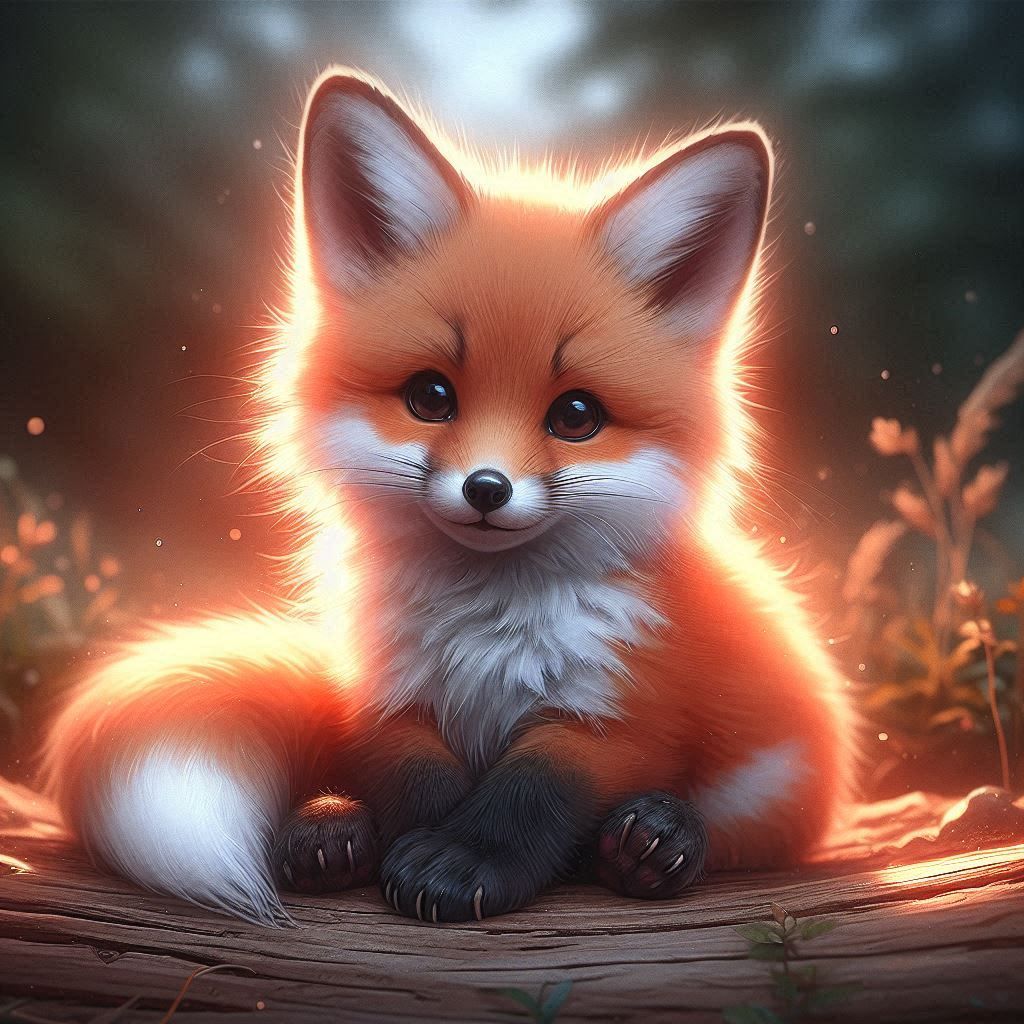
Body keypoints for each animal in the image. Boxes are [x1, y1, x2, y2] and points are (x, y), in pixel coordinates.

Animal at [42, 70, 854, 925]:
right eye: (430, 397)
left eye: (576, 416)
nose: (487, 488)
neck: (484, 626)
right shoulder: (385, 699)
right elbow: (417, 784)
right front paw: (405, 849)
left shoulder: (616, 713)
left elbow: (531, 789)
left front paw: (461, 864)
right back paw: (330, 829)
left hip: (774, 787)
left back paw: (653, 844)